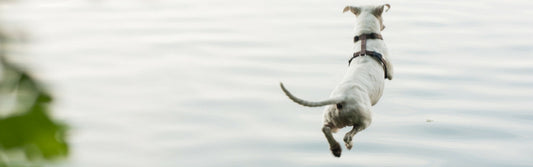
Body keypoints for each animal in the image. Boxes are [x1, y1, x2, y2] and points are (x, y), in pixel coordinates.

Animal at [280, 4, 392, 157]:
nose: (385, 26)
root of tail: (341, 98)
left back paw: (335, 148)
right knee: (349, 134)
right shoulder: (390, 68)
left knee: (325, 129)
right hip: (364, 118)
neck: (365, 38)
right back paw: (346, 144)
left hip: (331, 118)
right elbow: (391, 74)